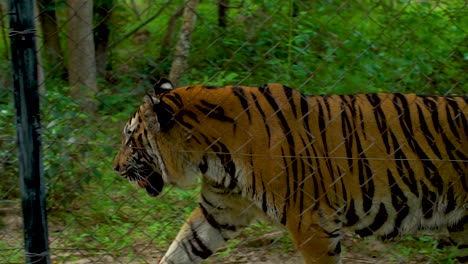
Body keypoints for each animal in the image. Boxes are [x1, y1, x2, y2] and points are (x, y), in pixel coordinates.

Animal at [114, 78, 468, 264]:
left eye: (130, 138)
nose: (116, 168)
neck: (211, 157)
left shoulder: (312, 224)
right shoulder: (219, 212)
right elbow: (182, 249)